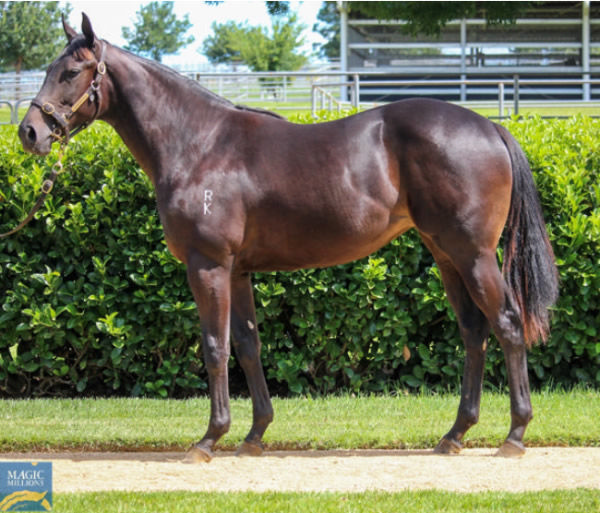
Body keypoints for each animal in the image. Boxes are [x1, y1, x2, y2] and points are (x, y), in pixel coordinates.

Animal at [16, 15, 556, 460]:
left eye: (71, 72)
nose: (29, 132)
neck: (199, 144)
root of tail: (489, 126)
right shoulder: (237, 271)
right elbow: (247, 344)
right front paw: (254, 435)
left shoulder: (207, 264)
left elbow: (214, 346)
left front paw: (209, 439)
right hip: (446, 255)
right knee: (473, 332)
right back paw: (455, 434)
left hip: (474, 255)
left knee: (508, 325)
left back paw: (515, 435)